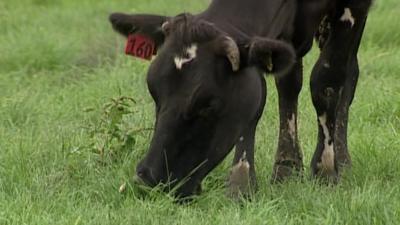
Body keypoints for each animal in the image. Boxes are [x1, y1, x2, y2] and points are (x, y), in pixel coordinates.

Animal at [108, 0, 372, 198]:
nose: (149, 180)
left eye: (208, 104)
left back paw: (342, 161)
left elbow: (327, 81)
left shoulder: (354, 6)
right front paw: (252, 181)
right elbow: (276, 87)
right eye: (154, 92)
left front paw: (325, 171)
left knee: (349, 73)